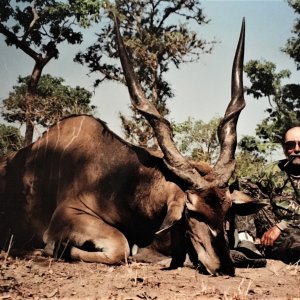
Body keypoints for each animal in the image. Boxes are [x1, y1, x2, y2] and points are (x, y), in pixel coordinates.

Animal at [0, 15, 246, 274]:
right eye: (192, 212)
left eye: (227, 210)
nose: (224, 267)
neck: (117, 181)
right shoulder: (67, 216)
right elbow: (121, 247)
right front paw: (52, 250)